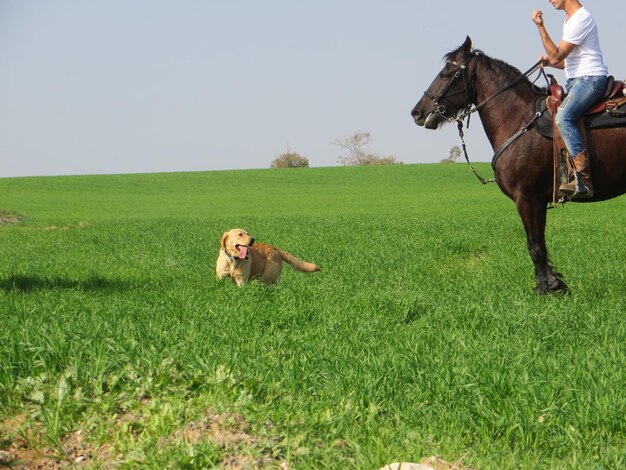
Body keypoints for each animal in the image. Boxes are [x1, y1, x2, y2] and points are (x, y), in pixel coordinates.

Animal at [410, 36, 624, 294]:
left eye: (446, 74)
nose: (417, 112)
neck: (518, 119)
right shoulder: (537, 201)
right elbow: (539, 243)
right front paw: (554, 284)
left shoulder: (527, 198)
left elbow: (535, 247)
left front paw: (546, 289)